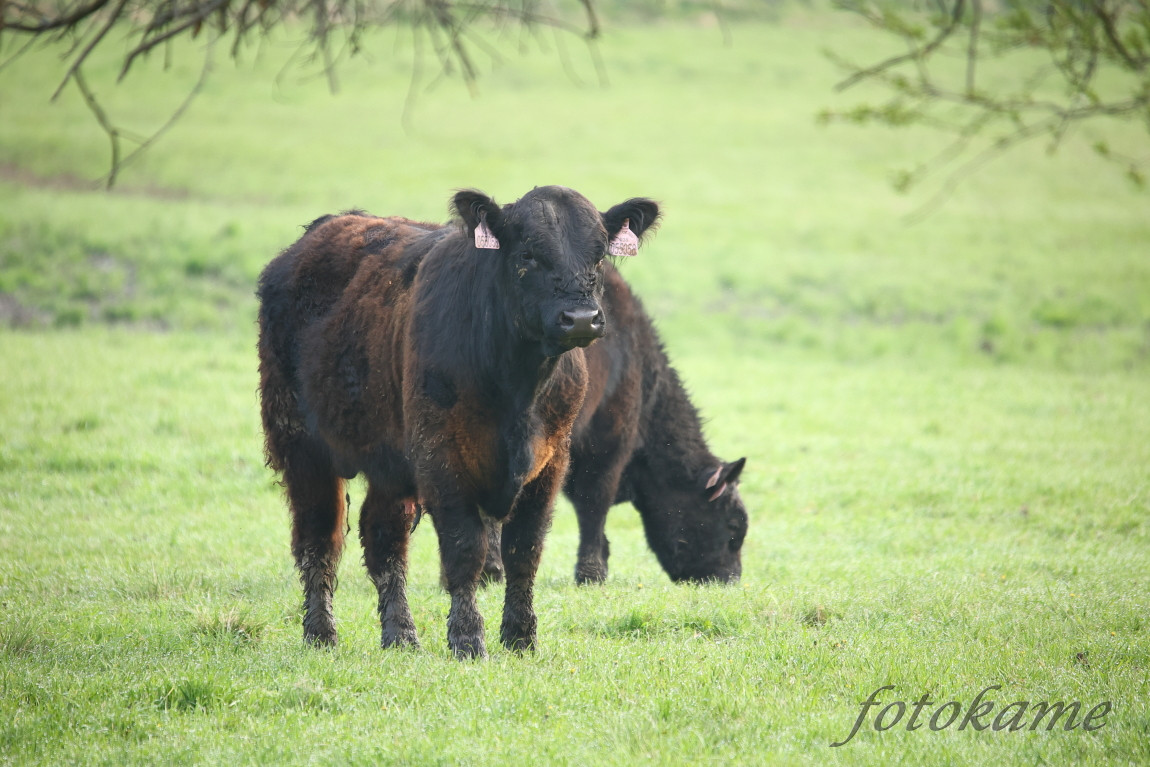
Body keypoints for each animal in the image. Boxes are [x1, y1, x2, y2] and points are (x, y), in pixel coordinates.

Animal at [256, 186, 662, 662]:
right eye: (527, 254)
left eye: (599, 256)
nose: (581, 318)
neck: (517, 387)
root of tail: (325, 228)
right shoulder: (441, 457)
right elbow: (465, 549)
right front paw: (468, 638)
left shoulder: (551, 461)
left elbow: (524, 549)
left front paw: (521, 636)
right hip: (300, 446)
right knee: (319, 538)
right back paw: (321, 633)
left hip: (389, 460)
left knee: (384, 538)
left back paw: (401, 635)